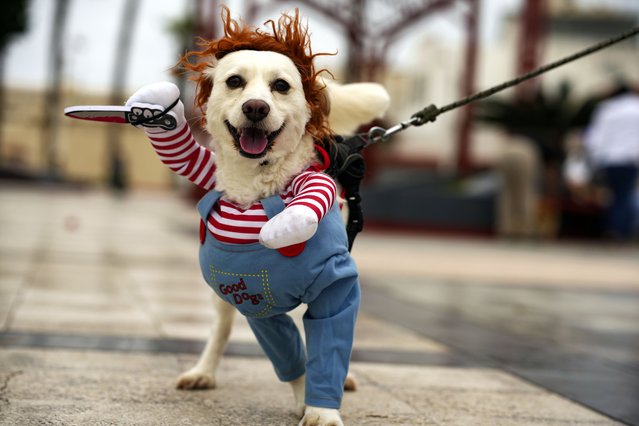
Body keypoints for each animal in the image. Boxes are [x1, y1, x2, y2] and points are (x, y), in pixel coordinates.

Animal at [125, 7, 390, 426]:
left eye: (281, 86)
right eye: (235, 81)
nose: (255, 107)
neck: (259, 185)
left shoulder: (333, 285)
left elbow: (328, 344)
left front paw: (321, 410)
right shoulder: (257, 303)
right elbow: (290, 353)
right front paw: (303, 396)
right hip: (222, 300)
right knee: (220, 330)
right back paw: (203, 372)